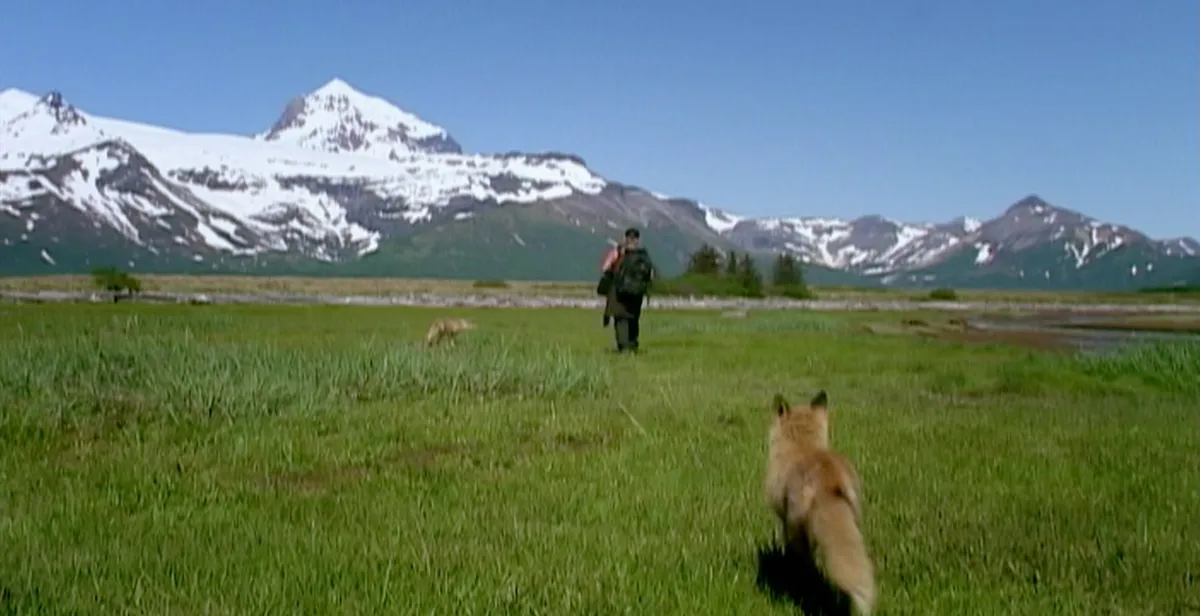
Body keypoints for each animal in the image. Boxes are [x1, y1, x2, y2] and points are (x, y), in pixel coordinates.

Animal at [763, 389, 876, 615]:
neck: (803, 446)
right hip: (852, 521)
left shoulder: (785, 519)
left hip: (798, 525)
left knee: (805, 562)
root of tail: (831, 478)